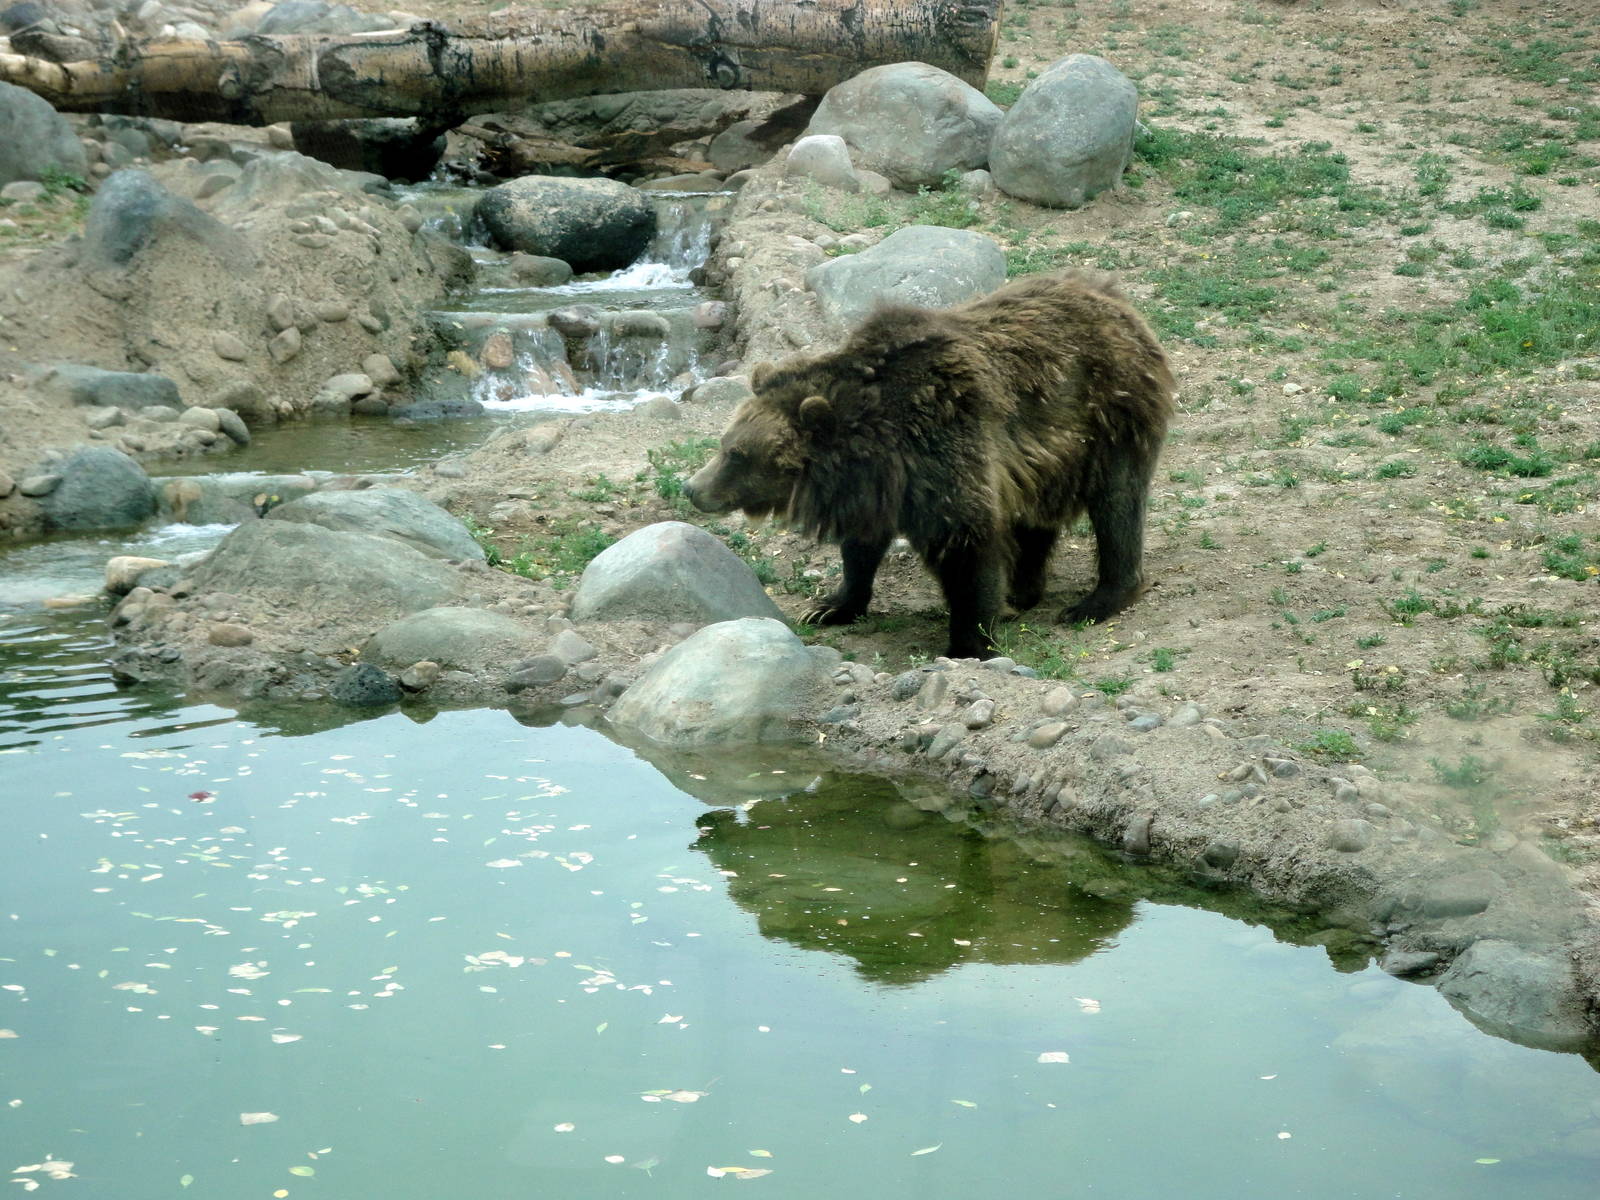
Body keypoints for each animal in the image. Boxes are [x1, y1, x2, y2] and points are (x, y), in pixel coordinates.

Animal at [682, 271, 1176, 660]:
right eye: (725, 442)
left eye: (738, 454)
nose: (692, 487)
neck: (875, 448)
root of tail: (1115, 299)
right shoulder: (877, 488)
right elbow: (860, 549)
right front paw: (831, 605)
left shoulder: (943, 452)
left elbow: (968, 548)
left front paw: (969, 643)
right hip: (1049, 456)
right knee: (1035, 518)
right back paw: (1023, 589)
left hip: (1109, 418)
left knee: (1117, 505)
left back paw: (1095, 600)